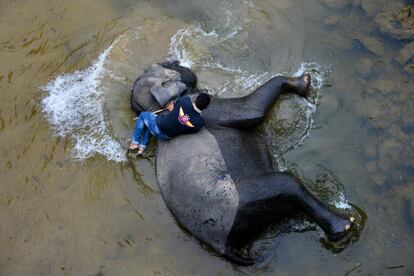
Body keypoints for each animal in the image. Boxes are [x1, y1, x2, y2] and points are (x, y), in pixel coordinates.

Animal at [130, 61, 356, 266]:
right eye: (169, 65)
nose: (177, 61)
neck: (159, 109)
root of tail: (225, 247)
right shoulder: (206, 107)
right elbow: (252, 111)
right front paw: (305, 80)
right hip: (243, 204)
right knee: (288, 183)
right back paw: (345, 226)